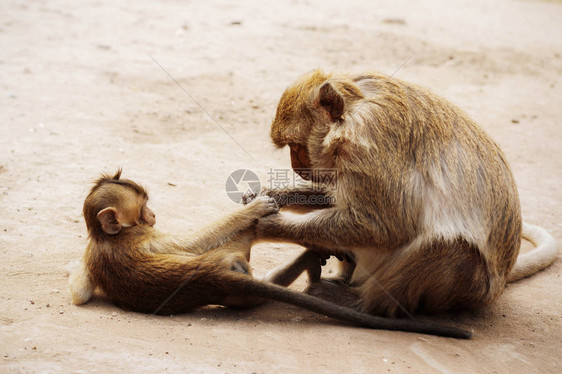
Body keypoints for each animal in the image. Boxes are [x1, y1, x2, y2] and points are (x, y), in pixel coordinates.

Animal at [64, 170, 468, 338]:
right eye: (144, 208)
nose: (152, 215)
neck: (108, 237)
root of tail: (216, 277)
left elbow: (79, 293)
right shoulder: (149, 239)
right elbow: (192, 243)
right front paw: (257, 207)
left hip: (237, 288)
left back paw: (313, 262)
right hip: (232, 259)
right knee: (245, 240)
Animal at [249, 69, 556, 316]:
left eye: (295, 146)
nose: (296, 166)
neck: (352, 111)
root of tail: (498, 286)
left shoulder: (369, 140)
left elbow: (384, 225)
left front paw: (268, 225)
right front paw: (275, 194)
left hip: (467, 289)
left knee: (452, 248)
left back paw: (363, 304)